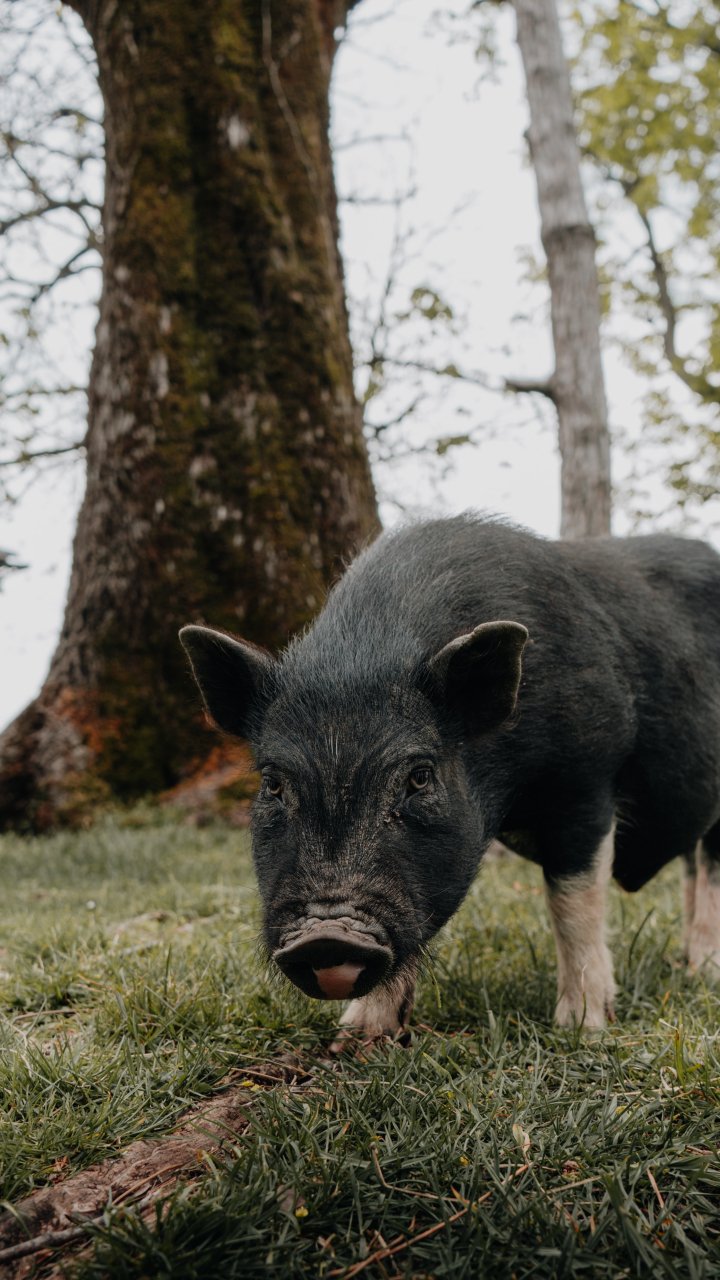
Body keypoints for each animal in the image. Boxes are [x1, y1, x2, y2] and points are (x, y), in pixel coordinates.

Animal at [179, 516, 720, 1038]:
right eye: (272, 783)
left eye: (419, 777)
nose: (326, 936)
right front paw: (355, 1038)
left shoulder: (586, 776)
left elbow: (573, 902)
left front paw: (583, 1028)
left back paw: (702, 971)